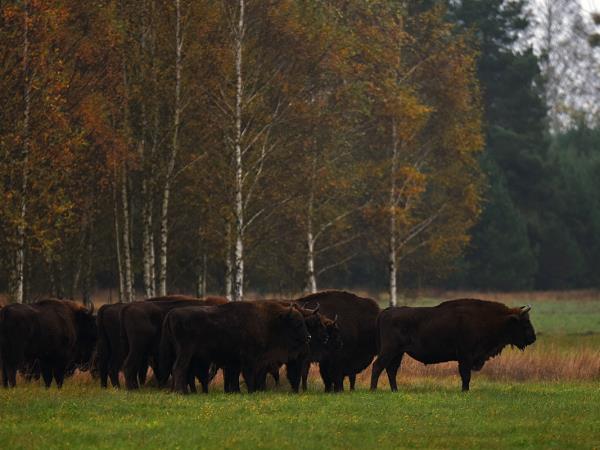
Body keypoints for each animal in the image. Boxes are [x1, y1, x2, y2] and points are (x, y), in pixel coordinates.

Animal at [162, 300, 310, 396]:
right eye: (297, 322)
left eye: (303, 321)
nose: (308, 337)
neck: (269, 322)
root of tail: (171, 314)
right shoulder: (250, 359)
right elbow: (248, 375)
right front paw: (251, 391)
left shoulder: (236, 361)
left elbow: (235, 376)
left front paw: (237, 392)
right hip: (185, 352)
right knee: (179, 368)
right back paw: (181, 392)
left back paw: (180, 391)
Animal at [370, 300, 540, 392]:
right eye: (525, 322)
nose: (533, 338)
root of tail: (386, 312)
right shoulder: (465, 355)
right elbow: (465, 375)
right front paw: (465, 391)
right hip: (390, 350)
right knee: (378, 366)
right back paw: (373, 390)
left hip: (398, 353)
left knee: (391, 370)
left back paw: (395, 390)